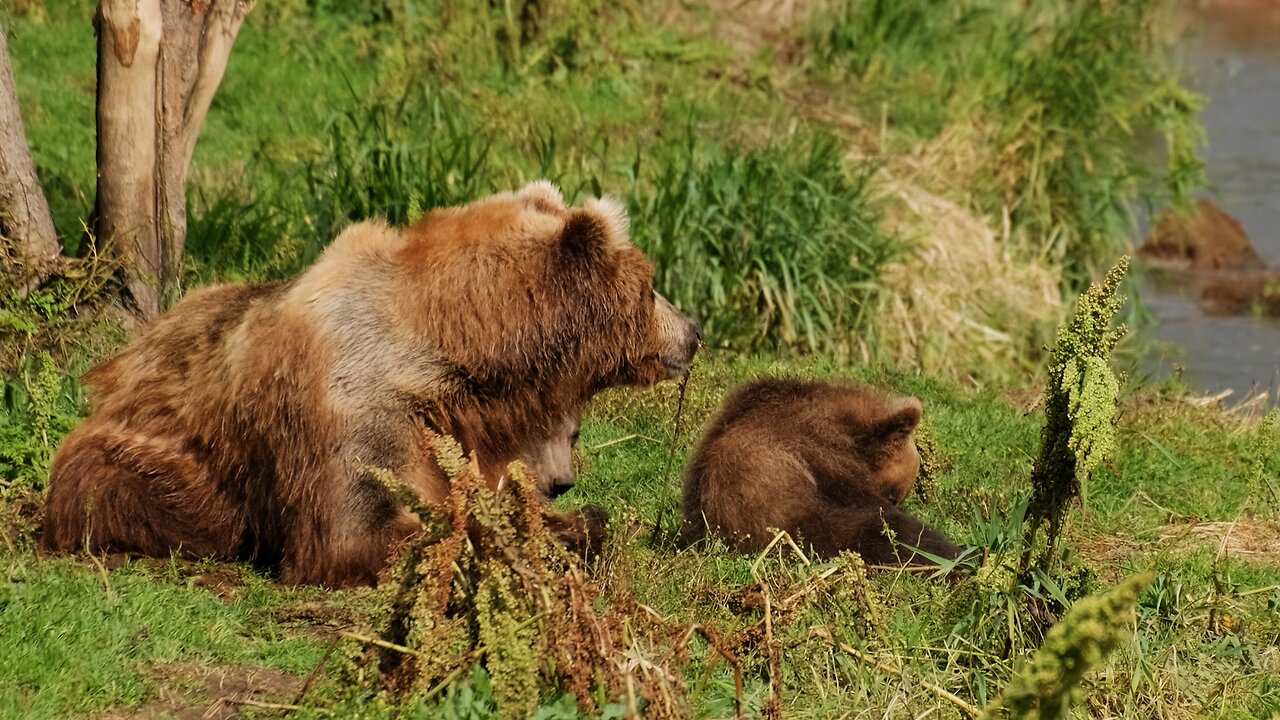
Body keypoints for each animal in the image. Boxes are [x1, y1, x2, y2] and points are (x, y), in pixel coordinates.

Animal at [40, 181, 701, 586]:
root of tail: (123, 359)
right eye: (652, 286)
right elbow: (363, 529)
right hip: (152, 453)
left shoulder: (461, 427)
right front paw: (552, 532)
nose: (693, 332)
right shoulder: (355, 404)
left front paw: (567, 519)